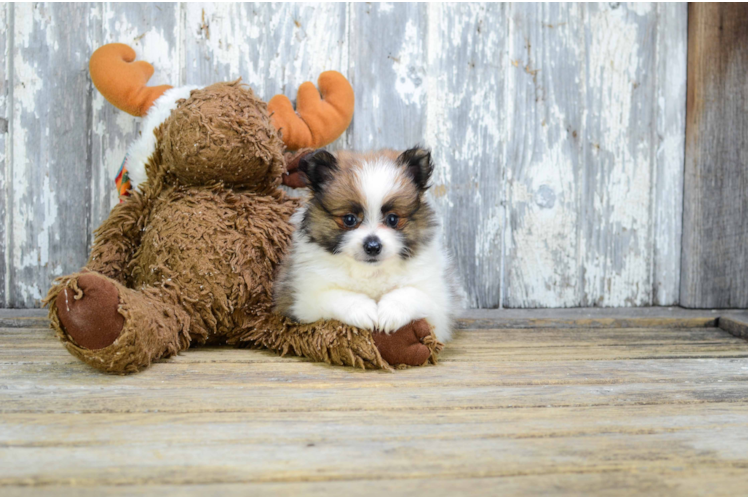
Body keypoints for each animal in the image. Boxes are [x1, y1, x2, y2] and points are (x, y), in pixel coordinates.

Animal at [272, 146, 456, 342]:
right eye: (349, 219)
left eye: (392, 219)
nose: (373, 246)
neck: (370, 272)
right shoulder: (301, 300)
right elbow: (335, 295)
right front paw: (362, 310)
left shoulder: (439, 306)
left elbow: (413, 293)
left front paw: (391, 311)